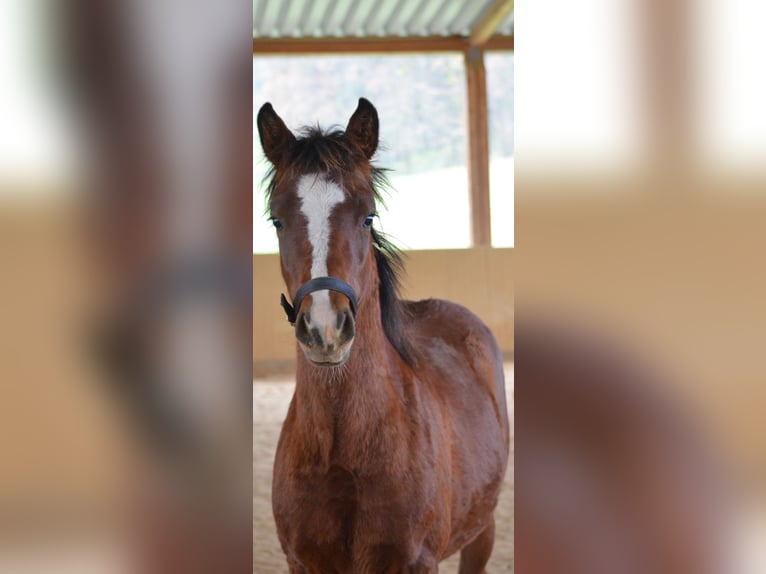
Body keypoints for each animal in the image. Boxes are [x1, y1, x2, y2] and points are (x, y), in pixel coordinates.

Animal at [257, 97, 510, 573]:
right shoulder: (302, 563)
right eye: (277, 220)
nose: (325, 330)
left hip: (481, 531)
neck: (344, 451)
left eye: (367, 216)